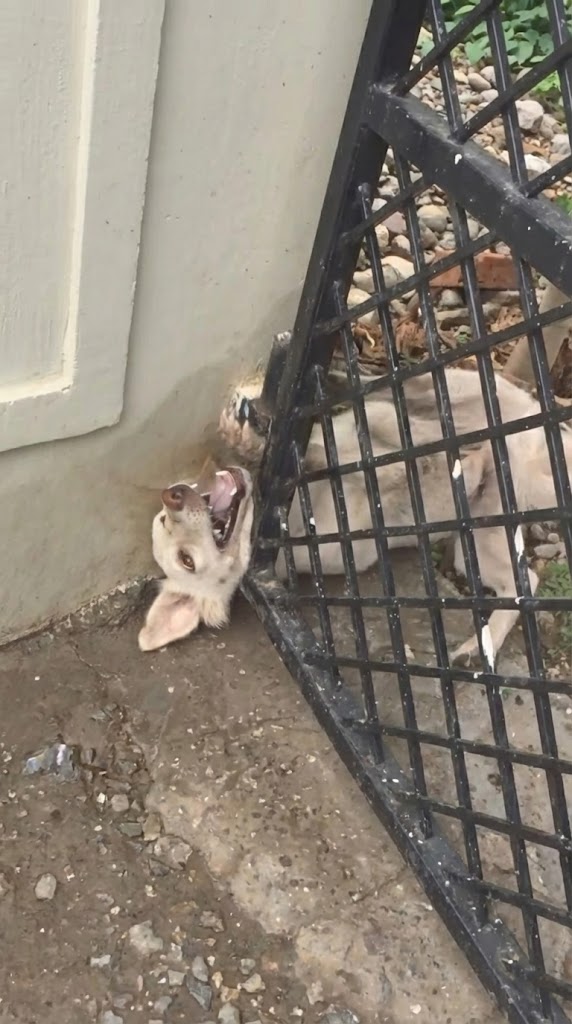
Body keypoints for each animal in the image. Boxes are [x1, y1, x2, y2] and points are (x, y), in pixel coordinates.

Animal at [140, 355, 571, 665]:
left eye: (162, 519)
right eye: (186, 560)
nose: (172, 495)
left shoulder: (334, 443)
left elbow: (317, 450)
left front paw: (248, 438)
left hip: (449, 394)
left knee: (400, 396)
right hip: (477, 544)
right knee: (524, 582)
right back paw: (479, 648)